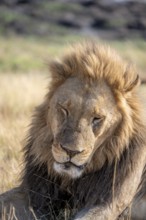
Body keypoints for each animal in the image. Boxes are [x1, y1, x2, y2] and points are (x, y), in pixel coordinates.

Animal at [0, 42, 146, 219]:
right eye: (64, 110)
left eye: (97, 118)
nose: (71, 152)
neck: (70, 181)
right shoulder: (34, 193)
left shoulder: (107, 202)